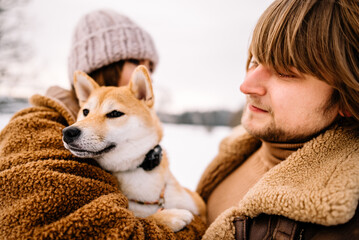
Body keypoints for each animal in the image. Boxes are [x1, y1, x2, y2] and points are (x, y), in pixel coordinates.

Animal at [63, 65, 207, 231]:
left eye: (114, 113)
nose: (68, 132)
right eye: (85, 112)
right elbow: (144, 218)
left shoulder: (198, 204)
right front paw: (171, 216)